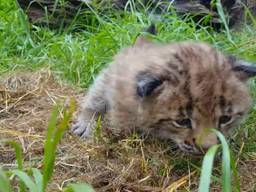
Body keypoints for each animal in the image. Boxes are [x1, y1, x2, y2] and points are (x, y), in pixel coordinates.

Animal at [71, 29, 256, 154]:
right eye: (182, 121)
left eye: (225, 118)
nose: (206, 148)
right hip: (108, 76)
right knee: (95, 97)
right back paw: (85, 124)